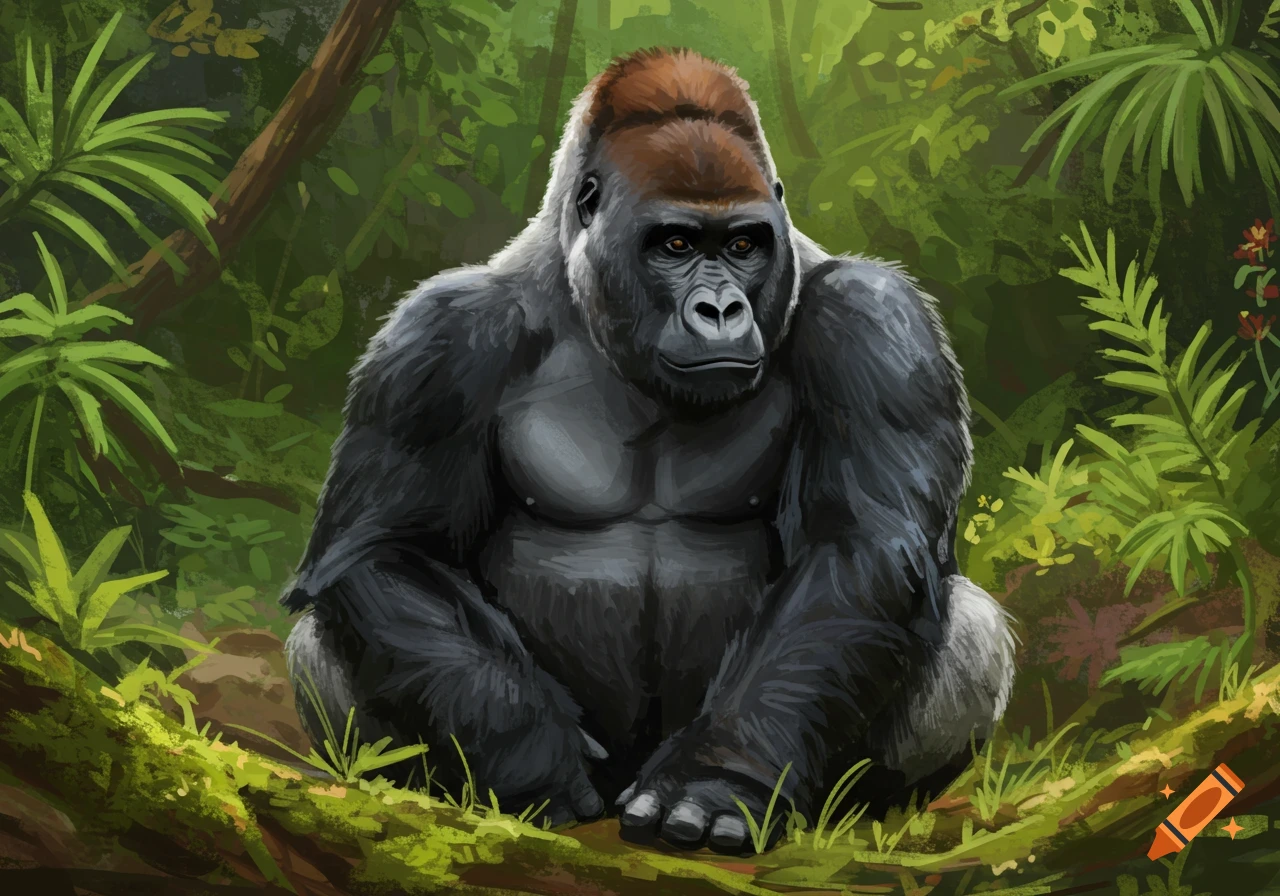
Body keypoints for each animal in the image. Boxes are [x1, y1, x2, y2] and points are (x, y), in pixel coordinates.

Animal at [281, 47, 1016, 854]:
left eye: (742, 244)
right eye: (675, 244)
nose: (720, 310)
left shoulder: (876, 319)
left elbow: (858, 547)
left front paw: (718, 778)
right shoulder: (436, 341)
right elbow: (388, 549)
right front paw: (529, 755)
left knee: (968, 624)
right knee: (319, 636)